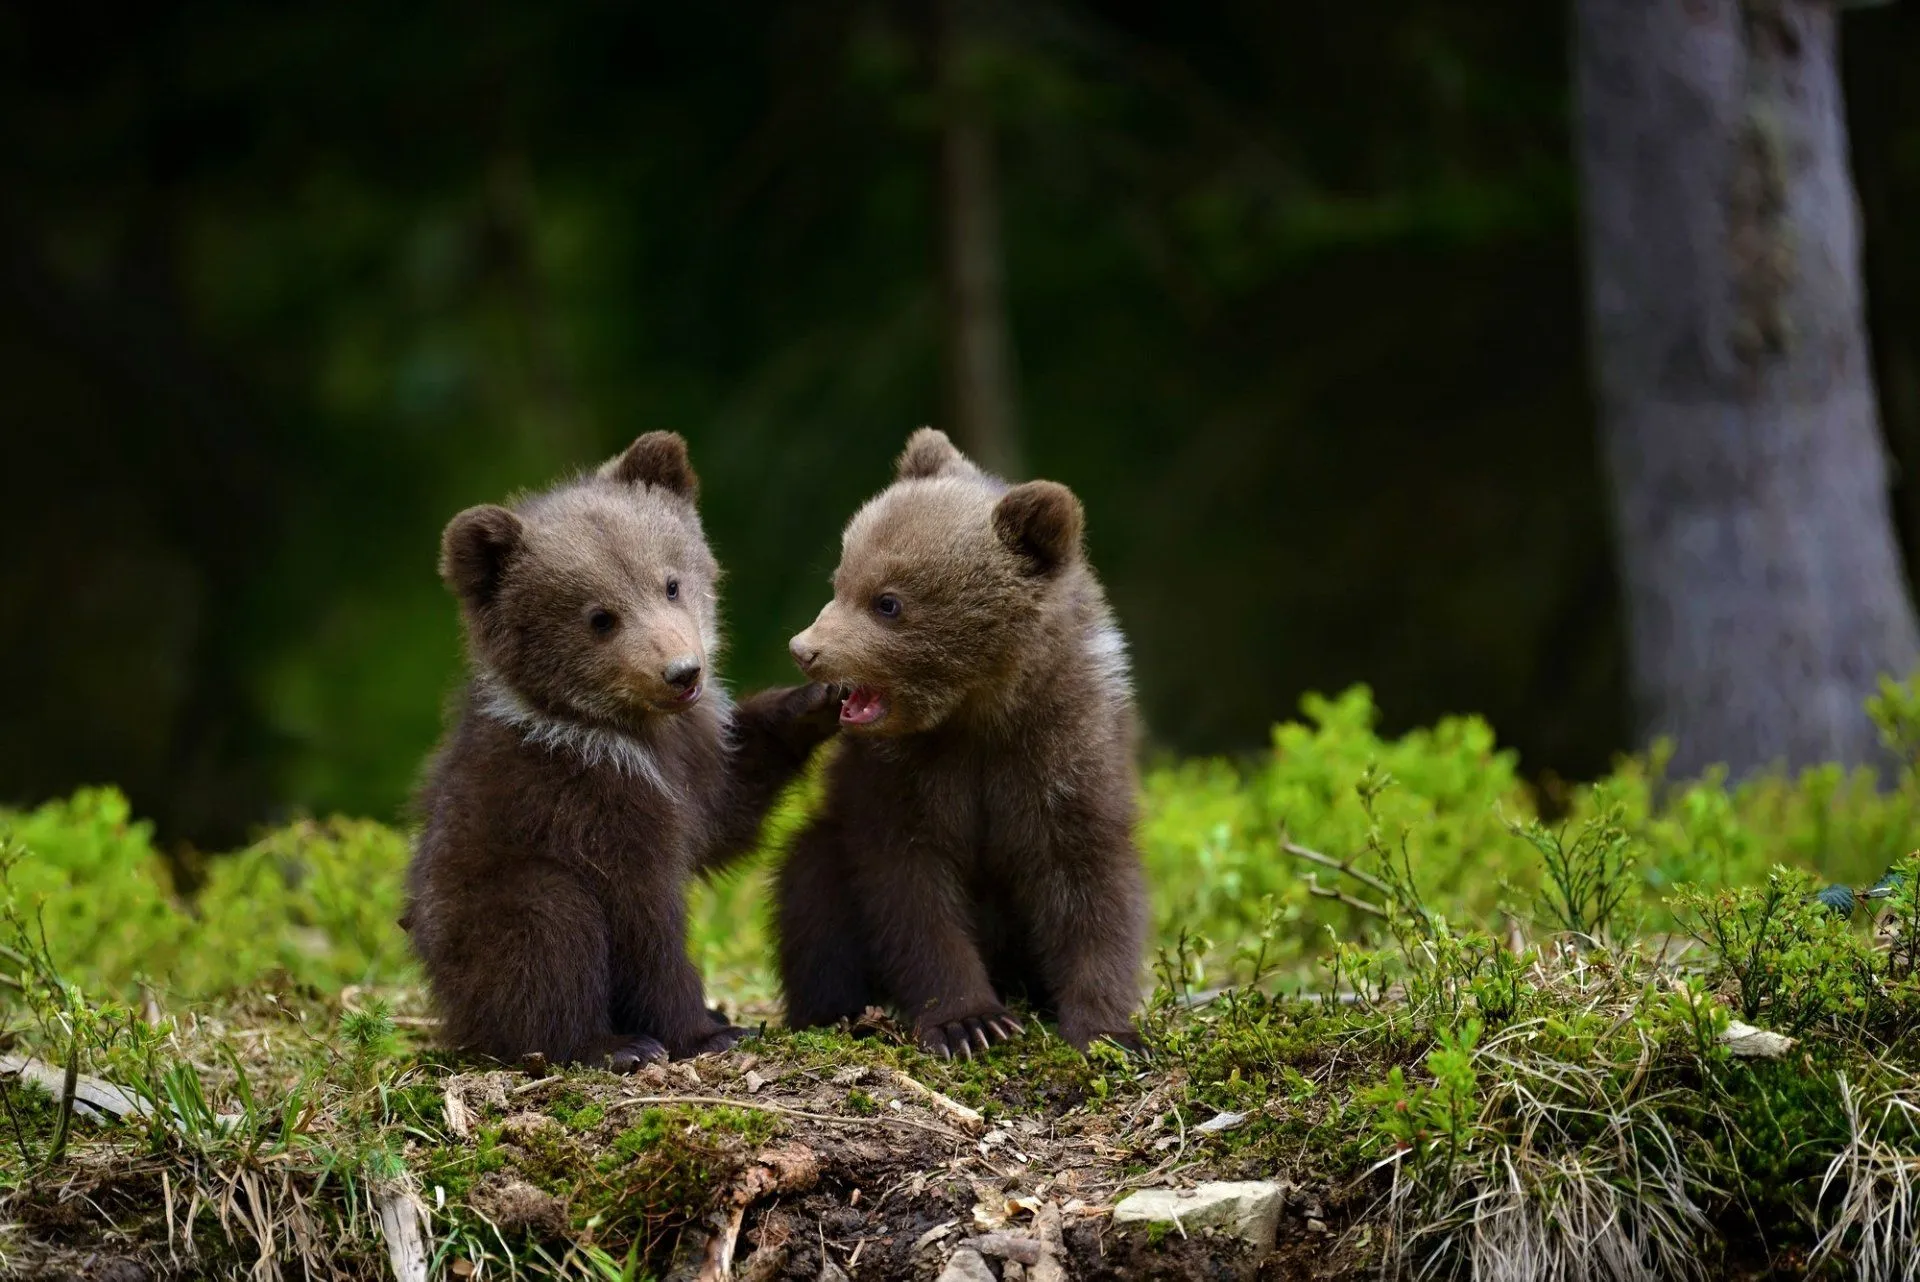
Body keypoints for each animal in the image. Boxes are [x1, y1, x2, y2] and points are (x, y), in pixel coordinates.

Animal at [406, 432, 841, 1070]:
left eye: (670, 583)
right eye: (600, 617)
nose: (682, 672)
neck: (630, 733)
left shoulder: (693, 759)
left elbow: (727, 808)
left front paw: (818, 698)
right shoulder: (589, 799)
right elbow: (643, 920)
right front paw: (706, 1031)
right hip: (484, 904)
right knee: (548, 930)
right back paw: (610, 1043)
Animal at [777, 427, 1148, 1058]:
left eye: (888, 601)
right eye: (840, 579)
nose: (806, 649)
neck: (978, 711)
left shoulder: (1065, 752)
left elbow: (1090, 882)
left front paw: (1109, 1029)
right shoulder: (902, 776)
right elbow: (912, 892)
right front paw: (969, 1021)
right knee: (810, 887)